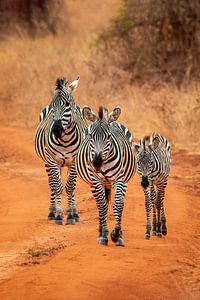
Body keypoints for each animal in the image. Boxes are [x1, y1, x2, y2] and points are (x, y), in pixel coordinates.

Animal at [34, 76, 86, 224]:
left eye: (67, 104)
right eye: (53, 105)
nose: (56, 130)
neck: (65, 140)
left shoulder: (73, 162)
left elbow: (70, 187)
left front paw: (70, 216)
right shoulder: (52, 160)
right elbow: (57, 186)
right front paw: (58, 215)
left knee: (71, 186)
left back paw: (73, 211)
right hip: (48, 162)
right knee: (52, 184)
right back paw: (52, 212)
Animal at [75, 105, 136, 246]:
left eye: (108, 136)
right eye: (91, 136)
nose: (96, 163)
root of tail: (113, 121)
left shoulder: (119, 180)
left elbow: (118, 205)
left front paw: (116, 235)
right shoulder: (96, 181)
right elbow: (102, 206)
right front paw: (104, 235)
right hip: (94, 184)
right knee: (99, 204)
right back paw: (101, 231)